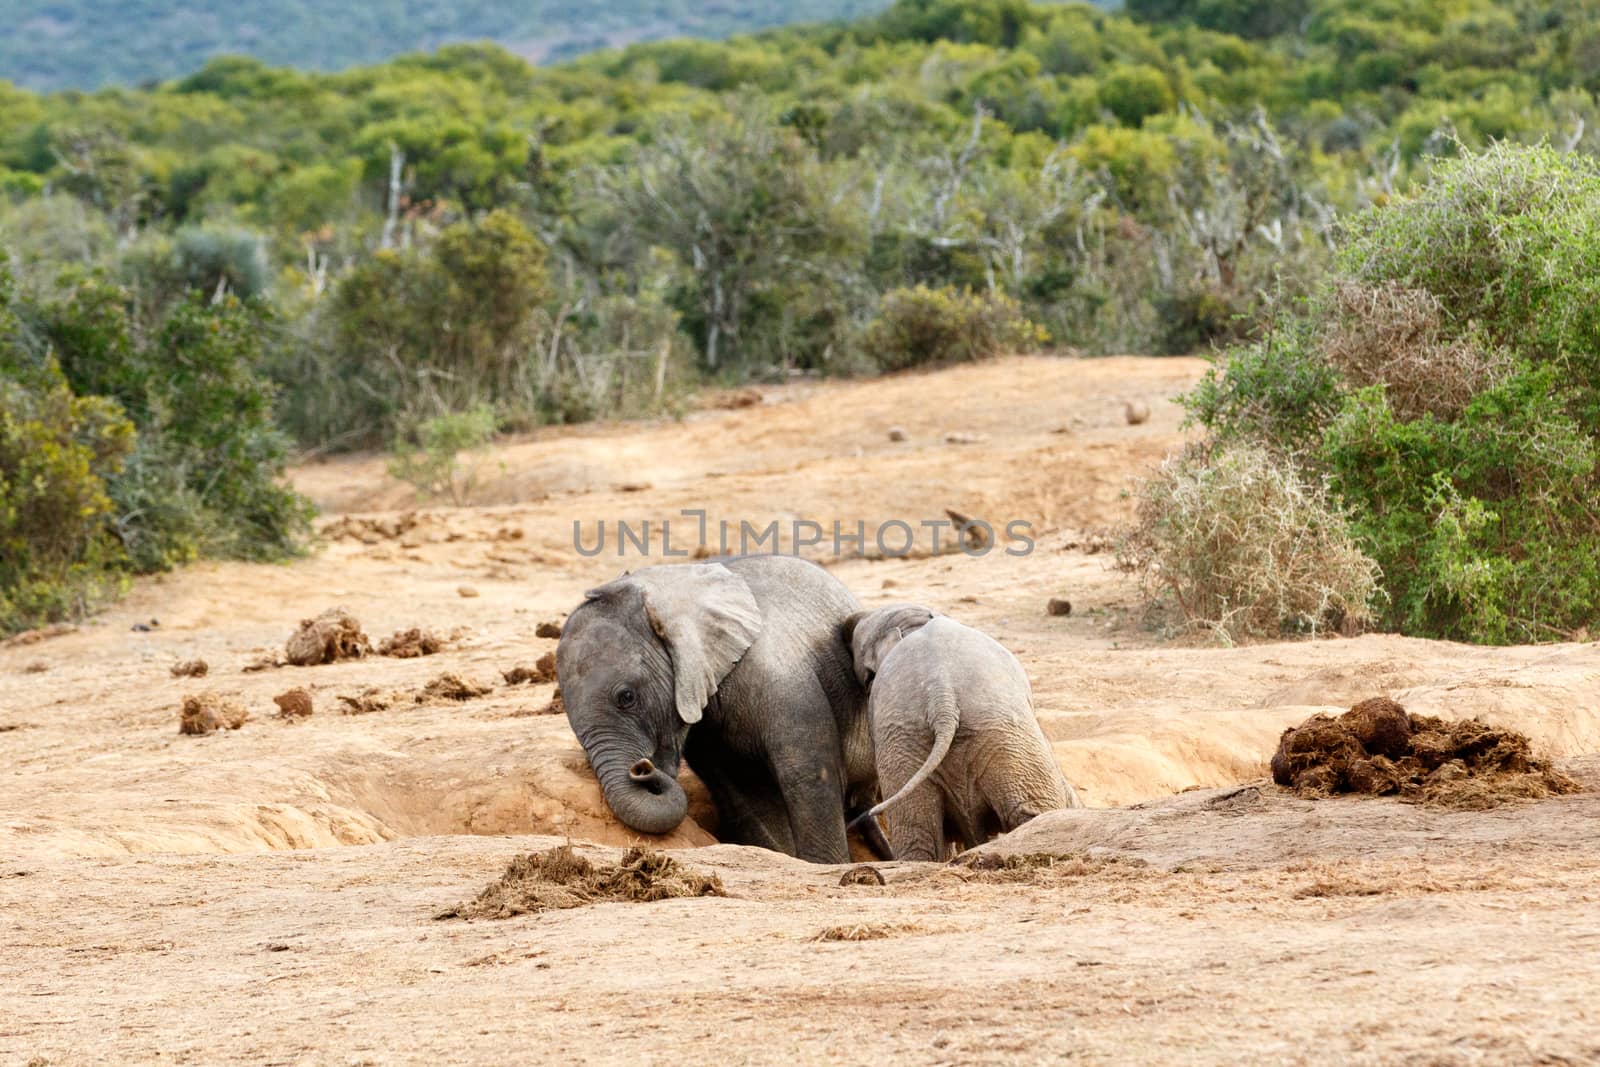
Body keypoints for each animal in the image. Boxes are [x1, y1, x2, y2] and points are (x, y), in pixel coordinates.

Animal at [556, 556, 889, 863]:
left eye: (627, 697)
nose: (641, 768)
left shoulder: (781, 677)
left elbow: (808, 773)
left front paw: (821, 865)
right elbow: (744, 790)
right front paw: (784, 855)